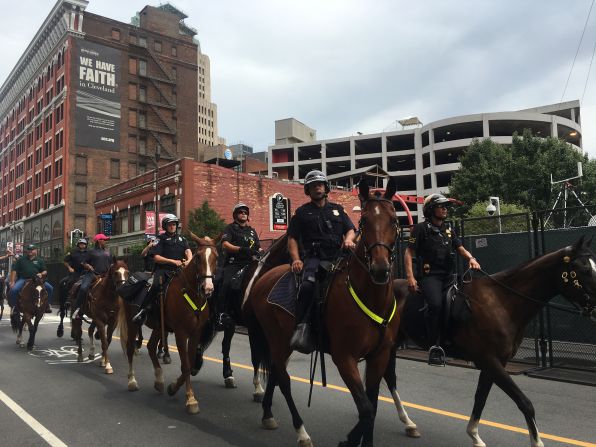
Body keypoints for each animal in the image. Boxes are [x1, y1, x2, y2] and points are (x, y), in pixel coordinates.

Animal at [117, 236, 218, 414]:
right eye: (198, 257)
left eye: (216, 257)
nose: (208, 288)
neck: (190, 292)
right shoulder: (180, 333)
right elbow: (186, 365)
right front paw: (190, 399)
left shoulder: (195, 333)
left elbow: (189, 363)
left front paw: (173, 387)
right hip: (132, 323)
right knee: (130, 348)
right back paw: (132, 381)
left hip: (158, 326)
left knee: (151, 347)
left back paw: (159, 380)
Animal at [244, 178, 402, 447]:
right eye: (364, 221)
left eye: (393, 219)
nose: (380, 269)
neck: (371, 297)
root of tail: (264, 277)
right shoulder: (344, 357)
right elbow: (366, 410)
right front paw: (348, 441)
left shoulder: (379, 356)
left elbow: (372, 406)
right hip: (276, 338)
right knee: (283, 380)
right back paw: (301, 432)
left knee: (275, 373)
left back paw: (267, 414)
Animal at [388, 236, 592, 446]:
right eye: (584, 270)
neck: (502, 303)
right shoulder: (489, 360)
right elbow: (524, 402)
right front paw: (536, 441)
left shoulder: (494, 362)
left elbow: (481, 398)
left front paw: (474, 435)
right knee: (390, 377)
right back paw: (407, 421)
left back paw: (408, 423)